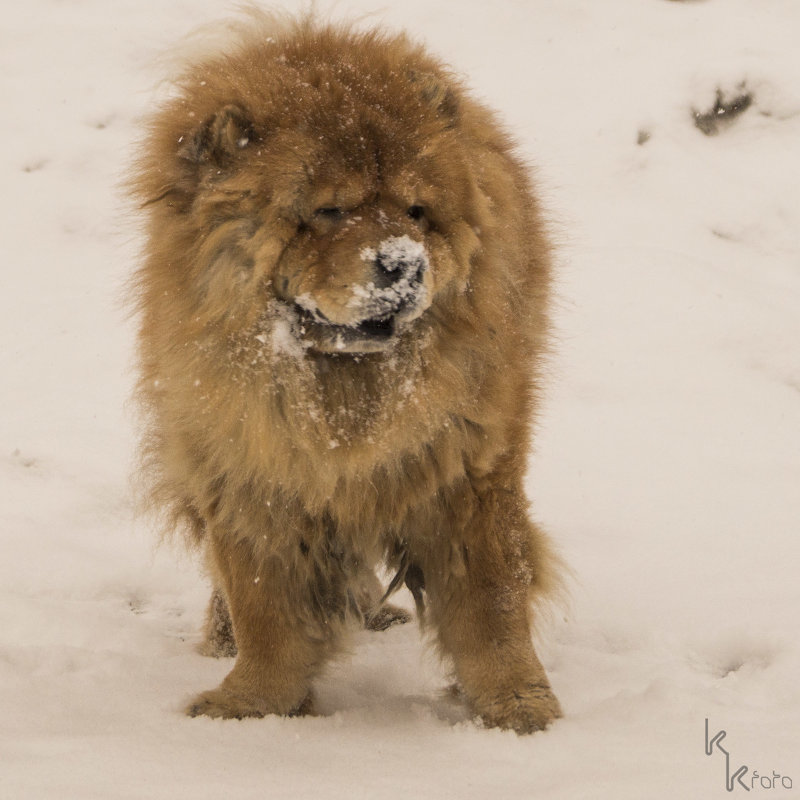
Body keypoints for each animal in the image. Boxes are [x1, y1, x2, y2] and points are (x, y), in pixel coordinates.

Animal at [128, 12, 560, 736]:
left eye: (416, 211)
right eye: (328, 211)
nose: (403, 263)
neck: (344, 392)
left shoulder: (470, 471)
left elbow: (492, 599)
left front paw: (520, 708)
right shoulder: (252, 473)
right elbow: (264, 607)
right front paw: (253, 704)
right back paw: (229, 636)